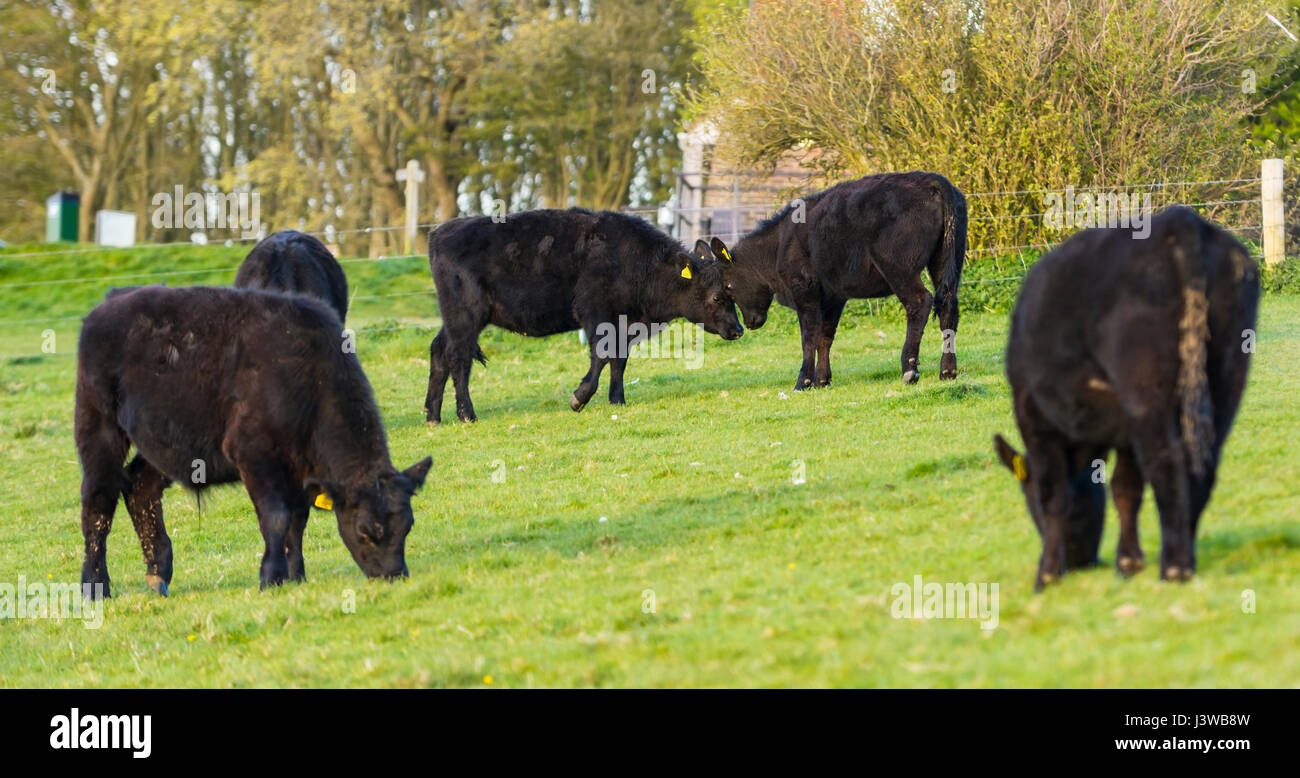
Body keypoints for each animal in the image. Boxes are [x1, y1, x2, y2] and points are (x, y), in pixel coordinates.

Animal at [74, 286, 431, 598]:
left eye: (408, 526)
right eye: (366, 531)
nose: (394, 575)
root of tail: (112, 299)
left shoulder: (299, 472)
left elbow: (297, 520)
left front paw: (295, 575)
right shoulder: (253, 454)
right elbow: (276, 516)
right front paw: (271, 578)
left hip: (164, 440)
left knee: (139, 487)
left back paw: (157, 574)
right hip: (98, 426)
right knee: (98, 501)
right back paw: (96, 586)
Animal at [421, 206, 738, 424]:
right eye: (716, 296)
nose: (738, 329)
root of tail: (440, 232)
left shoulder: (624, 323)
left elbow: (619, 360)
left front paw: (617, 400)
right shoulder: (595, 312)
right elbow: (602, 354)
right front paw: (579, 397)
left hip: (455, 319)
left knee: (439, 352)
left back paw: (433, 416)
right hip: (465, 315)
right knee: (458, 358)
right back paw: (466, 414)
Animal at [712, 170, 967, 390]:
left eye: (728, 286)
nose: (749, 323)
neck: (779, 245)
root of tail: (931, 179)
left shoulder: (804, 290)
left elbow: (809, 336)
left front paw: (803, 382)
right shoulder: (833, 296)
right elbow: (825, 336)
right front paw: (822, 380)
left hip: (899, 267)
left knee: (920, 302)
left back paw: (910, 369)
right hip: (945, 261)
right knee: (948, 306)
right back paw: (947, 371)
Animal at [993, 206, 1258, 590]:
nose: (1081, 562)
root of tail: (1178, 220)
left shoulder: (1032, 412)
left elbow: (1055, 493)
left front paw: (1047, 574)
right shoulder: (1124, 431)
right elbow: (1124, 489)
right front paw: (1128, 562)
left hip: (1146, 391)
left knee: (1167, 460)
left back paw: (1175, 567)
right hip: (1227, 375)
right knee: (1204, 463)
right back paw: (1185, 555)